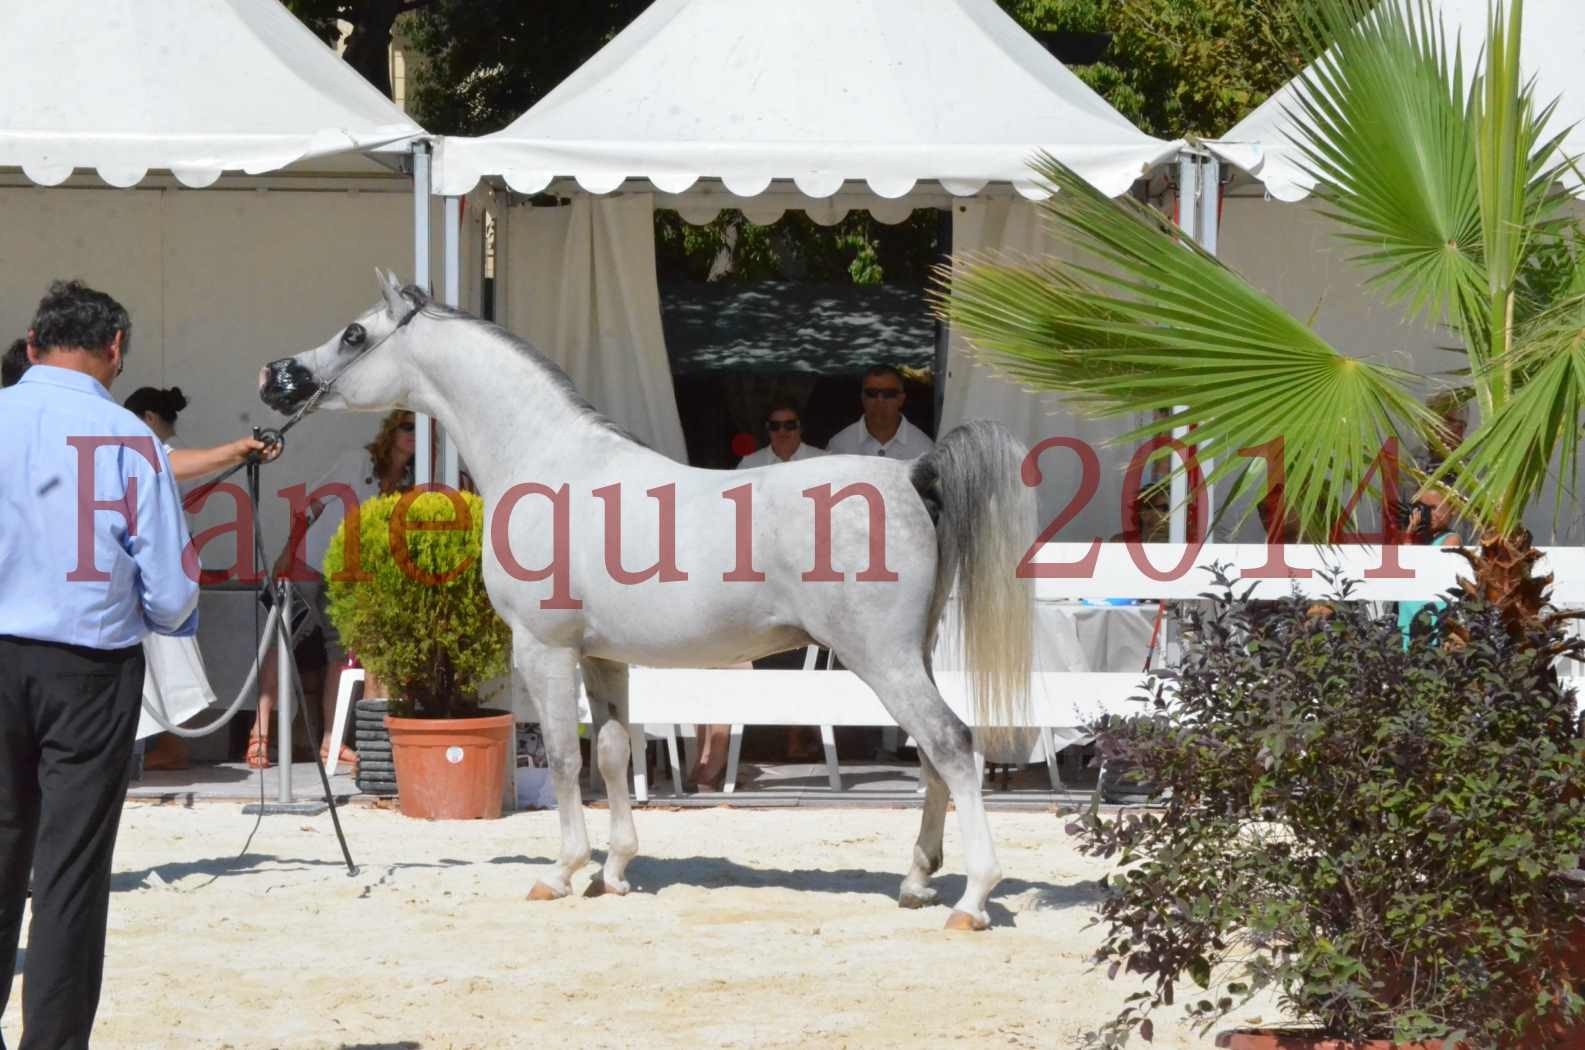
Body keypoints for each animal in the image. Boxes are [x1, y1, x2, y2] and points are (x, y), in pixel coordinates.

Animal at [266, 271, 1033, 932]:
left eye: (355, 334)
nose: (278, 377)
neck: (550, 460)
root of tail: (911, 474)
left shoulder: (544, 649)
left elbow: (564, 758)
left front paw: (562, 871)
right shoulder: (602, 657)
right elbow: (609, 754)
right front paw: (614, 871)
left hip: (880, 656)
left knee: (952, 745)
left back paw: (971, 900)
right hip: (910, 655)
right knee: (932, 756)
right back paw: (916, 882)